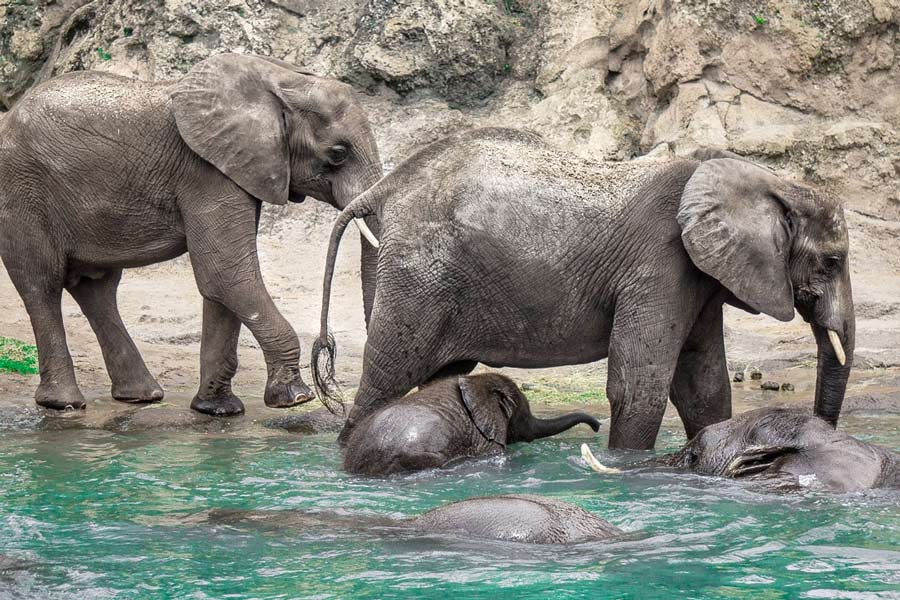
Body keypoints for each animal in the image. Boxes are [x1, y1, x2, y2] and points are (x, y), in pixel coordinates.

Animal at [0, 54, 382, 414]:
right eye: (338, 153)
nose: (327, 352)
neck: (281, 80)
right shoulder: (205, 172)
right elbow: (227, 275)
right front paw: (294, 398)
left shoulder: (236, 170)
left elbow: (223, 284)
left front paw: (217, 410)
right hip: (22, 194)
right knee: (42, 284)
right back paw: (64, 404)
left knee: (96, 287)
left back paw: (141, 395)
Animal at [312, 127, 856, 450]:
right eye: (832, 262)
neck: (766, 179)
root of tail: (383, 187)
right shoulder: (659, 264)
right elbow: (640, 385)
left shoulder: (697, 276)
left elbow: (703, 387)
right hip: (417, 274)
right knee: (388, 376)